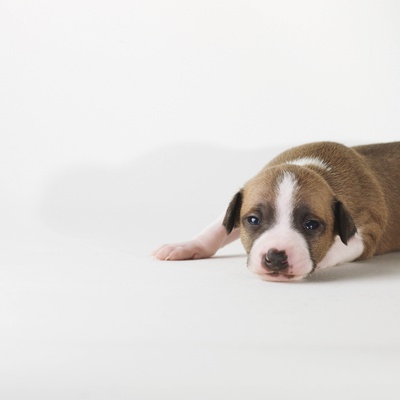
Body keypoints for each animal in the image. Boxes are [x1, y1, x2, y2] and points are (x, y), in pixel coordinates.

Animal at [152, 141, 400, 282]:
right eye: (253, 220)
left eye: (311, 225)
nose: (275, 258)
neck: (315, 168)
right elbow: (218, 228)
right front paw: (186, 246)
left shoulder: (367, 235)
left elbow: (338, 246)